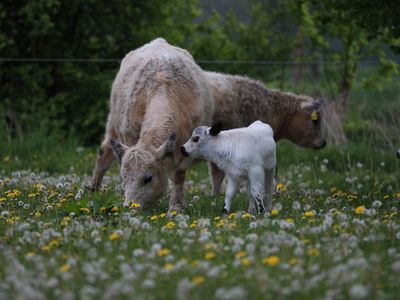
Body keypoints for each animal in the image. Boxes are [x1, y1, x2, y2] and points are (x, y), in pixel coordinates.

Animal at [86, 38, 214, 211]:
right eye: (124, 177)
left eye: (148, 178)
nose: (129, 206)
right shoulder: (130, 138)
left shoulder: (187, 148)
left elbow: (179, 176)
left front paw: (176, 206)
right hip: (113, 121)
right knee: (104, 153)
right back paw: (93, 189)